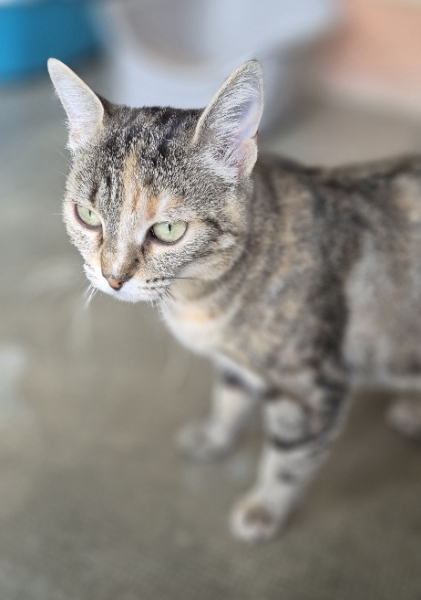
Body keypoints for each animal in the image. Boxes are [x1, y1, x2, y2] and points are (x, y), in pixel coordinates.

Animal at [48, 58, 421, 543]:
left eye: (168, 230)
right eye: (87, 216)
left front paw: (264, 507)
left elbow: (287, 458)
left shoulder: (314, 387)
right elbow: (229, 397)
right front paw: (214, 437)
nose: (113, 277)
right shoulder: (235, 364)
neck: (201, 297)